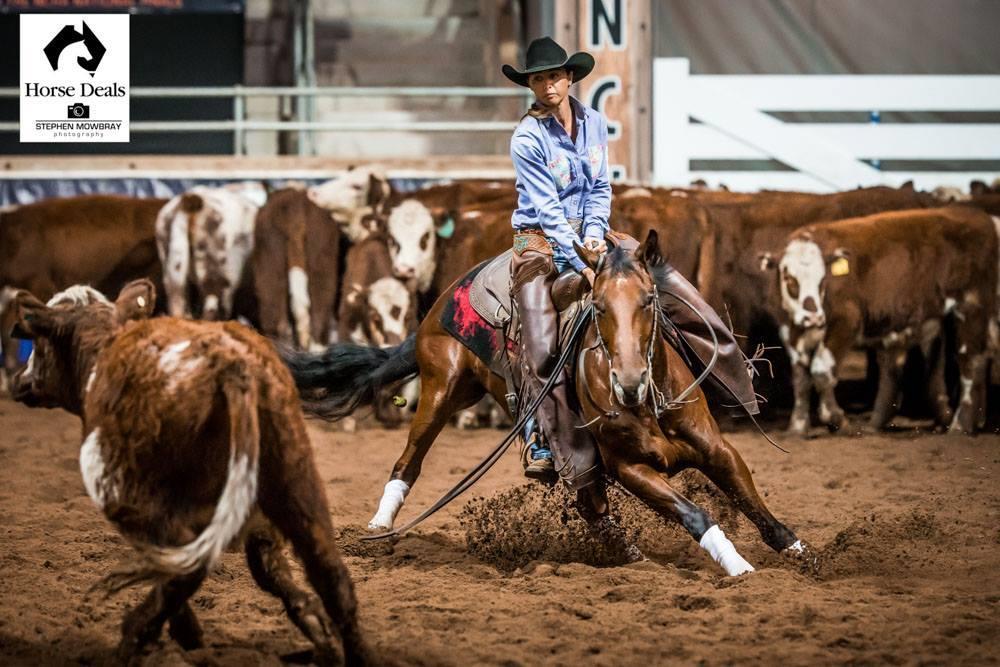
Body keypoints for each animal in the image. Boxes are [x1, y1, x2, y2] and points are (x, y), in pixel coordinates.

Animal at [8, 279, 368, 665]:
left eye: (38, 344)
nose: (18, 379)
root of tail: (231, 367)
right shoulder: (261, 525)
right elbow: (278, 577)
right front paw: (321, 636)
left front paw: (182, 631)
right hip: (295, 483)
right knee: (333, 578)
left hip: (150, 502)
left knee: (188, 569)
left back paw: (135, 636)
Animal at [284, 231, 814, 575]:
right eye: (598, 306)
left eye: (648, 300)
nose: (628, 382)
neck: (648, 402)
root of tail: (435, 306)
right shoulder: (629, 469)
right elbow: (695, 513)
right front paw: (740, 568)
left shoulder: (717, 450)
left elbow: (753, 503)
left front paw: (803, 554)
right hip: (441, 389)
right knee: (408, 460)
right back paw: (379, 525)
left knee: (594, 512)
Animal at [760, 207, 999, 435]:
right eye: (789, 278)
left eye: (822, 279)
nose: (813, 317)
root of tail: (983, 219)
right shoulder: (789, 330)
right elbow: (800, 378)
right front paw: (797, 427)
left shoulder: (846, 322)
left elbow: (821, 370)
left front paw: (838, 420)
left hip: (970, 308)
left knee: (969, 363)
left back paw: (960, 426)